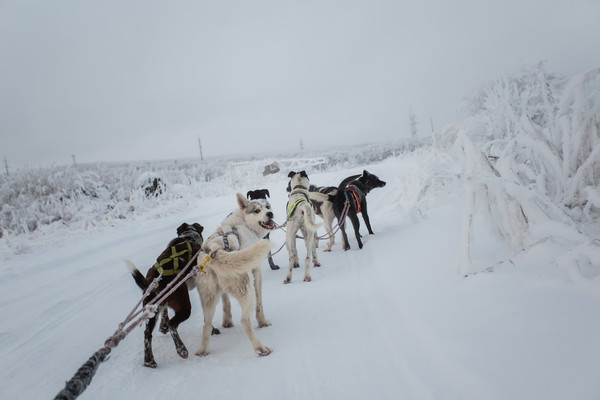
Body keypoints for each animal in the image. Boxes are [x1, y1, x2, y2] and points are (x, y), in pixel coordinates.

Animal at [125, 223, 204, 368]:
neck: (188, 237)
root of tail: (153, 281)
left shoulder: (162, 304)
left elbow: (164, 314)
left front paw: (163, 326)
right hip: (185, 306)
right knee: (173, 324)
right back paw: (181, 349)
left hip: (151, 312)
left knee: (147, 334)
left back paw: (149, 360)